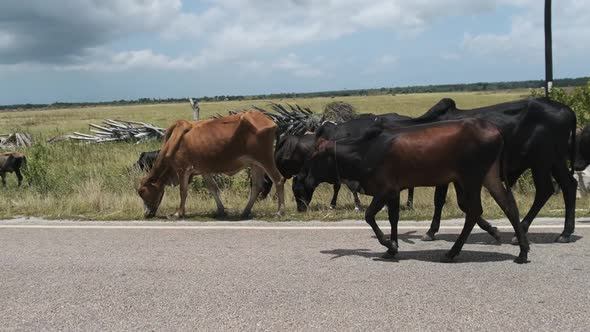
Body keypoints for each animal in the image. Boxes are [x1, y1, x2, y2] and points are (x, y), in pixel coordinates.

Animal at [139, 111, 286, 219]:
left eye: (143, 192)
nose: (146, 214)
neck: (173, 143)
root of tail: (271, 121)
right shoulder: (204, 170)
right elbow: (212, 188)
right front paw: (221, 210)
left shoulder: (183, 169)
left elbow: (183, 191)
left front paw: (178, 213)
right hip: (255, 164)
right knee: (256, 187)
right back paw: (245, 211)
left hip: (265, 160)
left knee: (278, 180)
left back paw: (279, 212)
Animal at [296, 118, 532, 264]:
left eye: (314, 157)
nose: (306, 179)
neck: (364, 151)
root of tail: (494, 129)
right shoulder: (393, 192)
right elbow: (393, 218)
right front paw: (392, 248)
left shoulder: (385, 189)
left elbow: (369, 215)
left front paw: (388, 243)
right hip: (489, 176)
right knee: (509, 206)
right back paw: (522, 251)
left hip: (471, 178)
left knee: (474, 211)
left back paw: (452, 252)